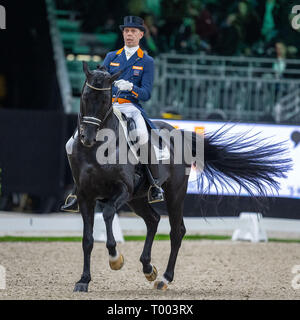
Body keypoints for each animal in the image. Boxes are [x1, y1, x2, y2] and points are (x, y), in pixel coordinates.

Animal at [67, 61, 290, 292]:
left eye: (105, 100)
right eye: (84, 96)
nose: (87, 137)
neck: (97, 149)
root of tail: (179, 132)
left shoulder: (123, 189)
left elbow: (109, 213)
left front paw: (115, 259)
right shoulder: (85, 196)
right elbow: (87, 239)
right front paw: (83, 281)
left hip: (173, 193)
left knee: (177, 231)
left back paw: (164, 278)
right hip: (137, 199)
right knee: (153, 220)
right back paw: (148, 269)